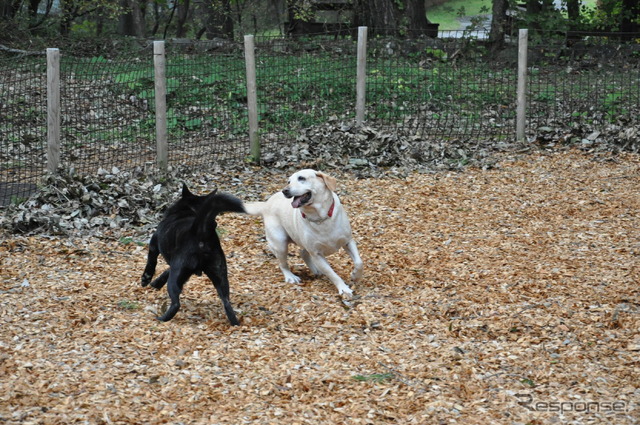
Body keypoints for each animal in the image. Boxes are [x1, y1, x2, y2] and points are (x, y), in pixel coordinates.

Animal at [142, 183, 245, 324]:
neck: (188, 210)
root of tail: (201, 231)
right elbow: (166, 271)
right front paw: (157, 283)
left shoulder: (154, 246)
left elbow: (151, 263)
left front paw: (146, 279)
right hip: (220, 275)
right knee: (226, 302)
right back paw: (235, 323)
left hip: (176, 276)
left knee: (176, 303)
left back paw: (162, 318)